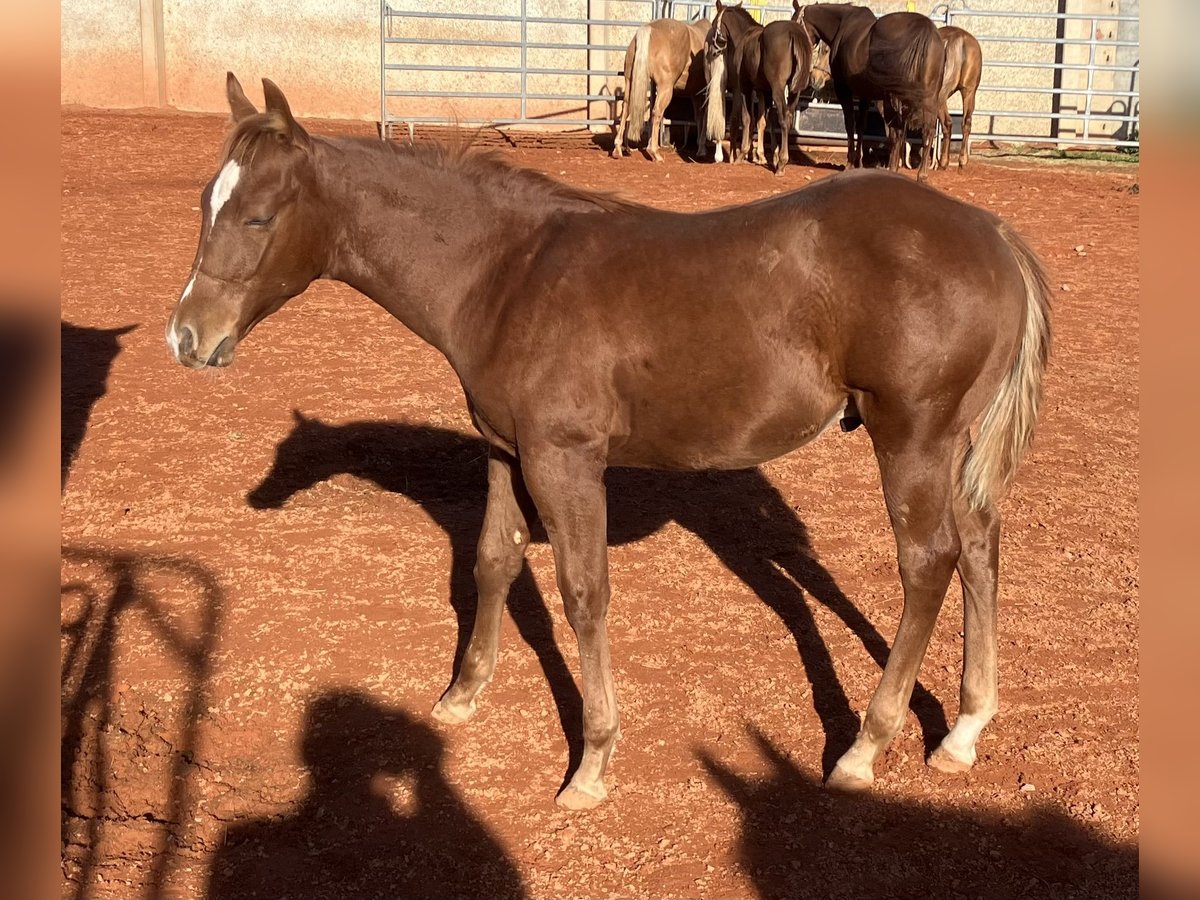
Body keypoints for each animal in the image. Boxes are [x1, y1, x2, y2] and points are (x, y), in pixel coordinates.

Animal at [167, 73, 1051, 810]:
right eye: (204, 206)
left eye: (258, 216)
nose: (187, 337)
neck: (506, 274)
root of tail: (993, 232)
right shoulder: (506, 450)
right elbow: (493, 561)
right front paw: (461, 696)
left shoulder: (566, 461)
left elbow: (583, 594)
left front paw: (591, 764)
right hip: (954, 445)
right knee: (980, 547)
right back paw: (964, 731)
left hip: (912, 436)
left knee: (928, 564)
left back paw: (864, 748)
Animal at [611, 16, 711, 162]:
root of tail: (649, 29)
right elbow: (704, 117)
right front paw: (702, 149)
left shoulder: (695, 94)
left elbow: (699, 116)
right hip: (666, 88)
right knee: (657, 111)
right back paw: (654, 152)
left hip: (630, 81)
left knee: (626, 108)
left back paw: (618, 149)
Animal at [704, 11, 815, 174]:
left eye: (713, 26)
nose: (712, 51)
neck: (745, 34)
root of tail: (793, 32)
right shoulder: (765, 90)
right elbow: (764, 121)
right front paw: (768, 156)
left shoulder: (745, 88)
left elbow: (747, 119)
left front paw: (742, 154)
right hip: (794, 91)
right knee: (787, 118)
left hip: (778, 89)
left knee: (783, 119)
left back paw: (782, 163)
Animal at [798, 3, 946, 180]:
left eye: (825, 50)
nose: (814, 78)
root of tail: (925, 30)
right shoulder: (864, 94)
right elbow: (862, 126)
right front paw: (859, 162)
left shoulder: (844, 90)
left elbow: (850, 124)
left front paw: (850, 163)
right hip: (928, 99)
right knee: (925, 131)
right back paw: (920, 174)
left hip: (894, 99)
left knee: (897, 131)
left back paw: (893, 168)